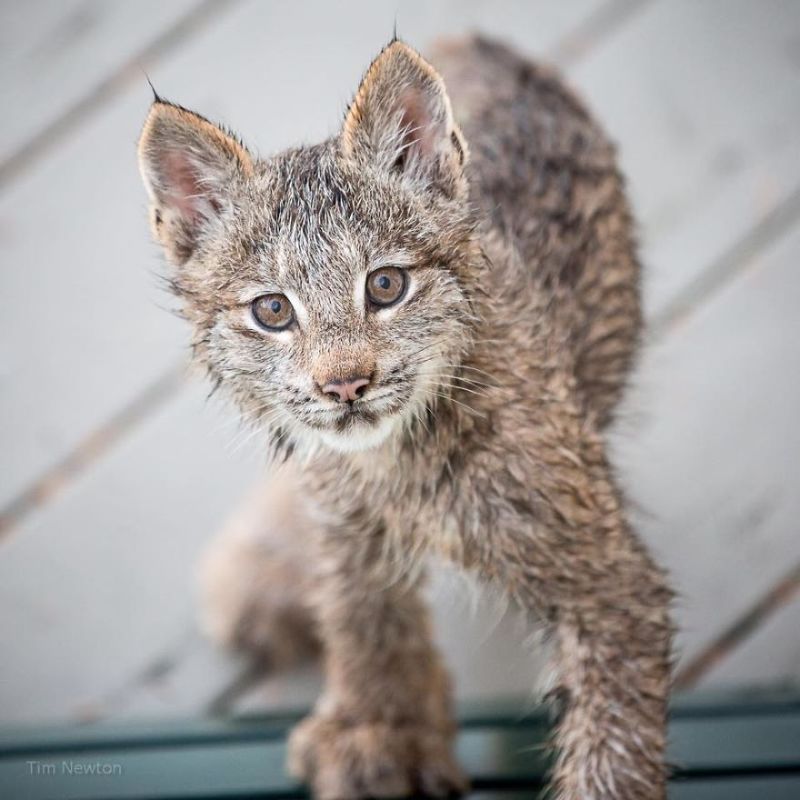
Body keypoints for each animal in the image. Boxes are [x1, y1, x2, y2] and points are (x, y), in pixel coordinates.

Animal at [139, 34, 676, 796]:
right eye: (272, 311)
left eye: (386, 286)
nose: (344, 386)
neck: (395, 461)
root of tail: (484, 40)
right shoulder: (346, 522)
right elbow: (363, 616)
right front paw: (380, 729)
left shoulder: (609, 584)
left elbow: (613, 752)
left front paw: (383, 731)